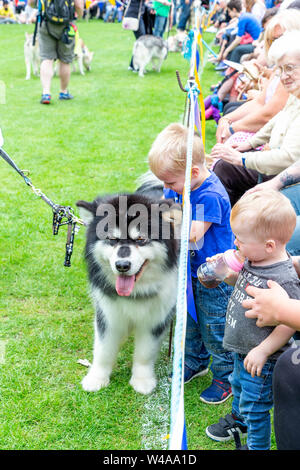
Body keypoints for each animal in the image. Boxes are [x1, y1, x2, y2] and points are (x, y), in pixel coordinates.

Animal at [77, 178, 180, 394]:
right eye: (112, 239)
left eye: (141, 239)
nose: (122, 265)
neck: (135, 293)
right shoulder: (108, 313)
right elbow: (103, 350)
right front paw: (97, 378)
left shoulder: (155, 318)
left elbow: (145, 353)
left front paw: (142, 380)